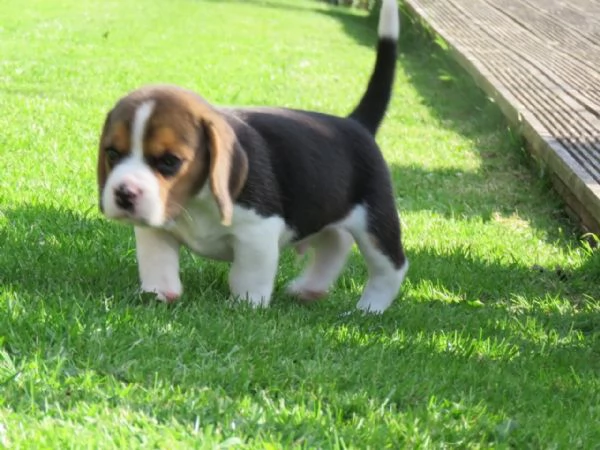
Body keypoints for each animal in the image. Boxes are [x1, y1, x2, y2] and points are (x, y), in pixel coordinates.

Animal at [97, 0, 408, 312]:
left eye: (170, 162)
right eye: (112, 153)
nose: (124, 194)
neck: (196, 201)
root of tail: (356, 123)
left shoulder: (258, 231)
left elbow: (248, 274)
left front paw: (246, 306)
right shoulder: (155, 229)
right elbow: (157, 262)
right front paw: (159, 294)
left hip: (376, 222)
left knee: (391, 267)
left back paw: (369, 309)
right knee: (335, 244)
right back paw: (309, 289)